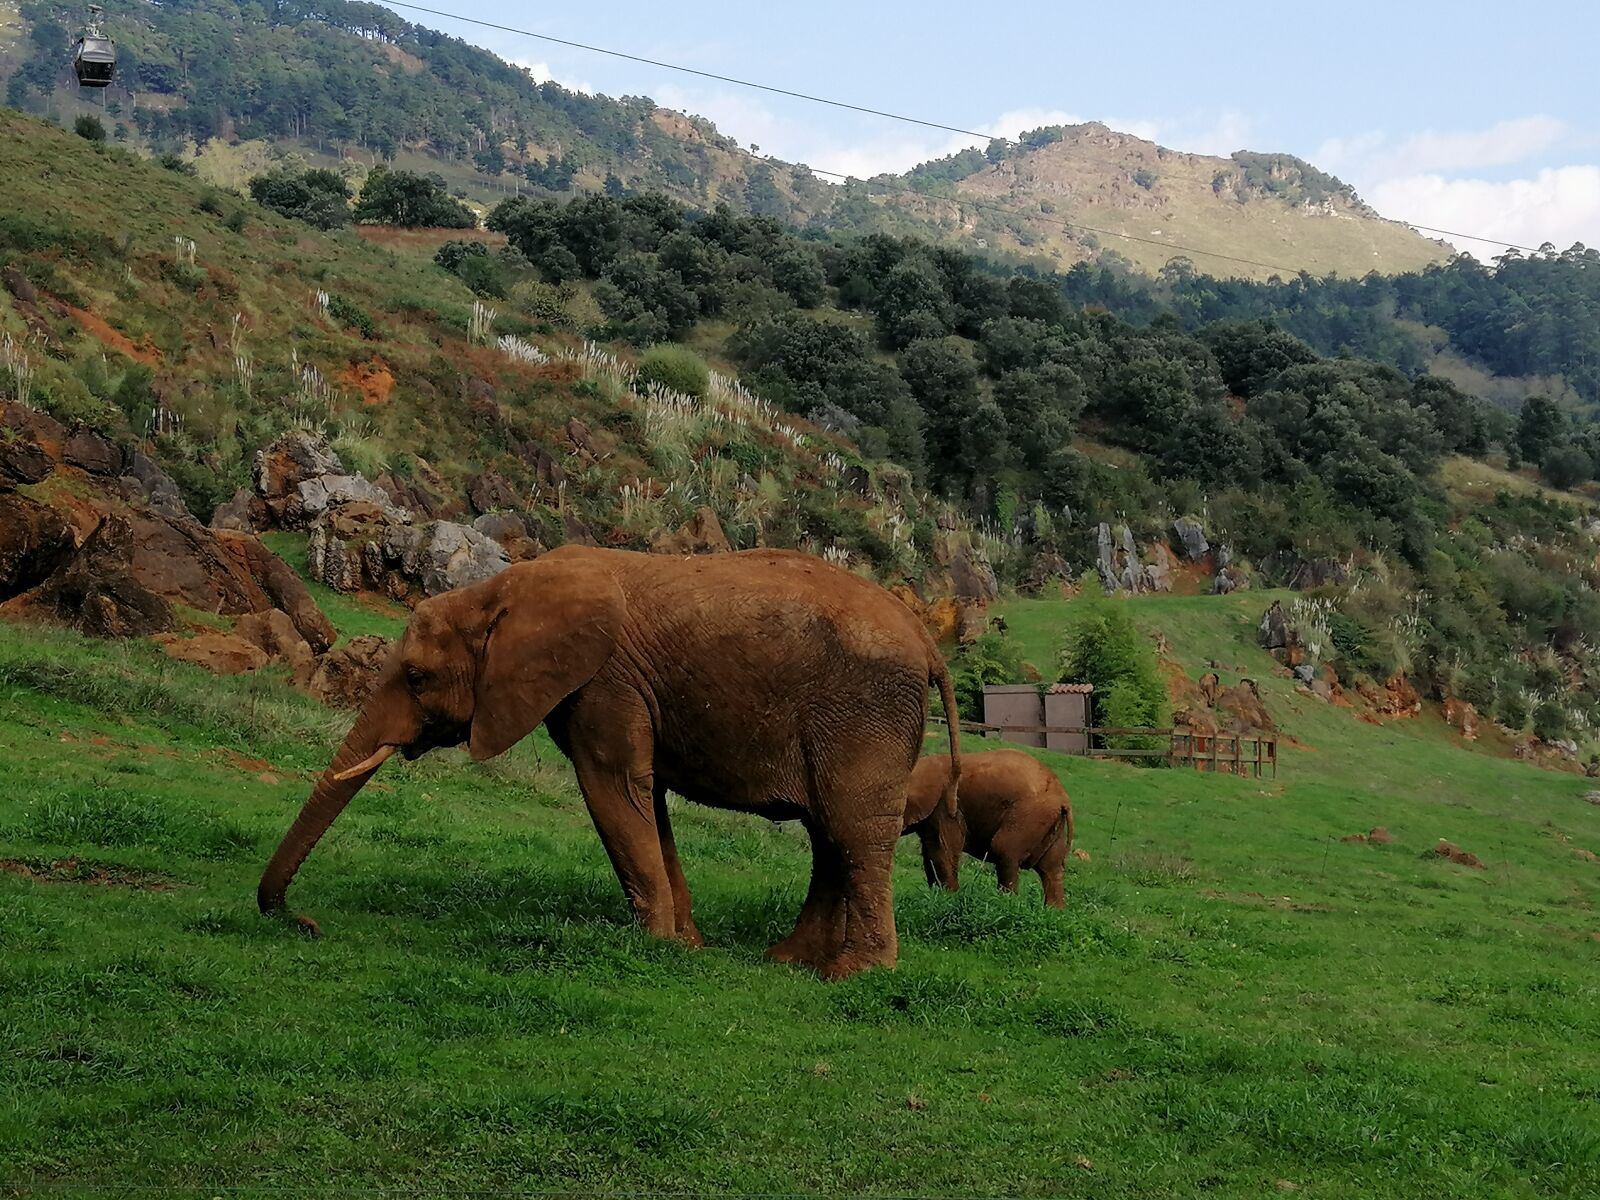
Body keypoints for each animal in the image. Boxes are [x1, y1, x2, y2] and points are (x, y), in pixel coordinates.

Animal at [262, 544, 960, 979]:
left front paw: (656, 945)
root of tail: (928, 640)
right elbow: (646, 802)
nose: (305, 922)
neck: (503, 588)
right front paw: (686, 945)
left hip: (864, 716)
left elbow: (612, 790)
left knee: (852, 830)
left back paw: (848, 975)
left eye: (414, 676)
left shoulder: (604, 683)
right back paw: (788, 961)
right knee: (828, 835)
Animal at [908, 748, 1068, 908]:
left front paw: (947, 898)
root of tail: (1063, 797)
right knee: (1051, 867)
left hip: (1030, 815)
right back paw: (1054, 910)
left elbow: (942, 851)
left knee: (1004, 850)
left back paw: (1005, 903)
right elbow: (929, 853)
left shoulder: (945, 806)